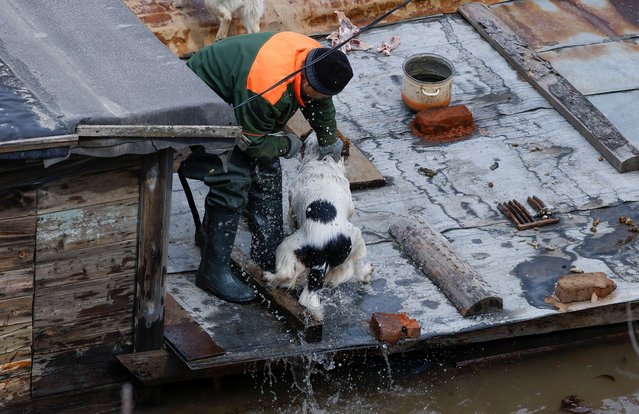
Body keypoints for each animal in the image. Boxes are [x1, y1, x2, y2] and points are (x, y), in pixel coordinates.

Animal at [264, 133, 376, 320]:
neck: (323, 161)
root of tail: (324, 248)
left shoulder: (292, 211)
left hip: (288, 247)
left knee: (287, 274)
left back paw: (269, 277)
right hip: (355, 242)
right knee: (356, 267)